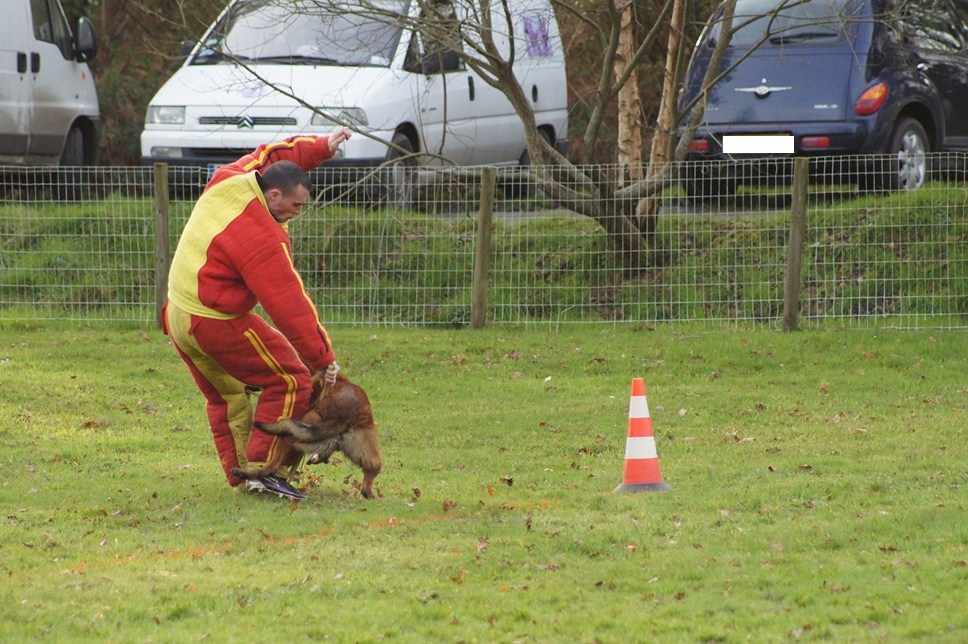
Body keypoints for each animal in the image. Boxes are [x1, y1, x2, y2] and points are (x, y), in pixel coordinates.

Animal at [233, 370, 384, 500]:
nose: (246, 386)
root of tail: (342, 418)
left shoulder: (315, 380)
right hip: (369, 455)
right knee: (370, 476)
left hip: (293, 434)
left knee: (271, 466)